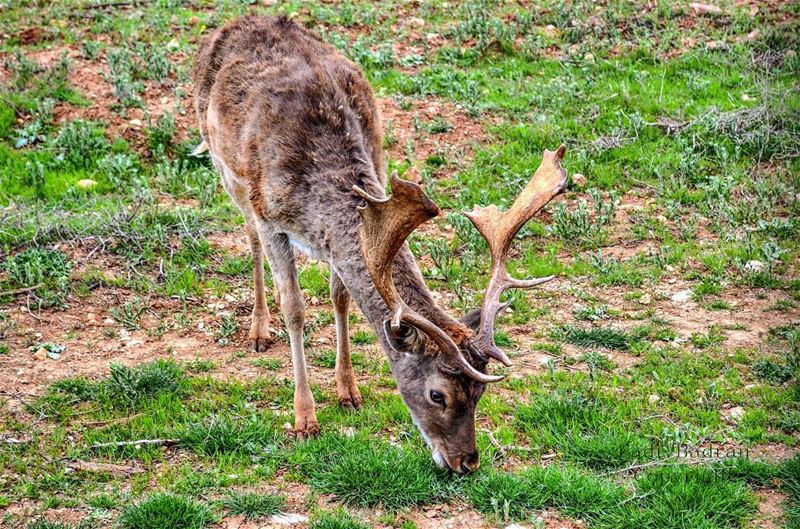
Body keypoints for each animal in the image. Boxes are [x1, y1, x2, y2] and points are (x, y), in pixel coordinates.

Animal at [195, 15, 568, 474]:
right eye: (437, 394)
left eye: (480, 393)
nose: (466, 462)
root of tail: (240, 21)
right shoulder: (270, 216)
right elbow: (295, 309)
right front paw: (305, 418)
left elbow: (340, 297)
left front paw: (348, 391)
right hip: (227, 170)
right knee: (248, 236)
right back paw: (258, 331)